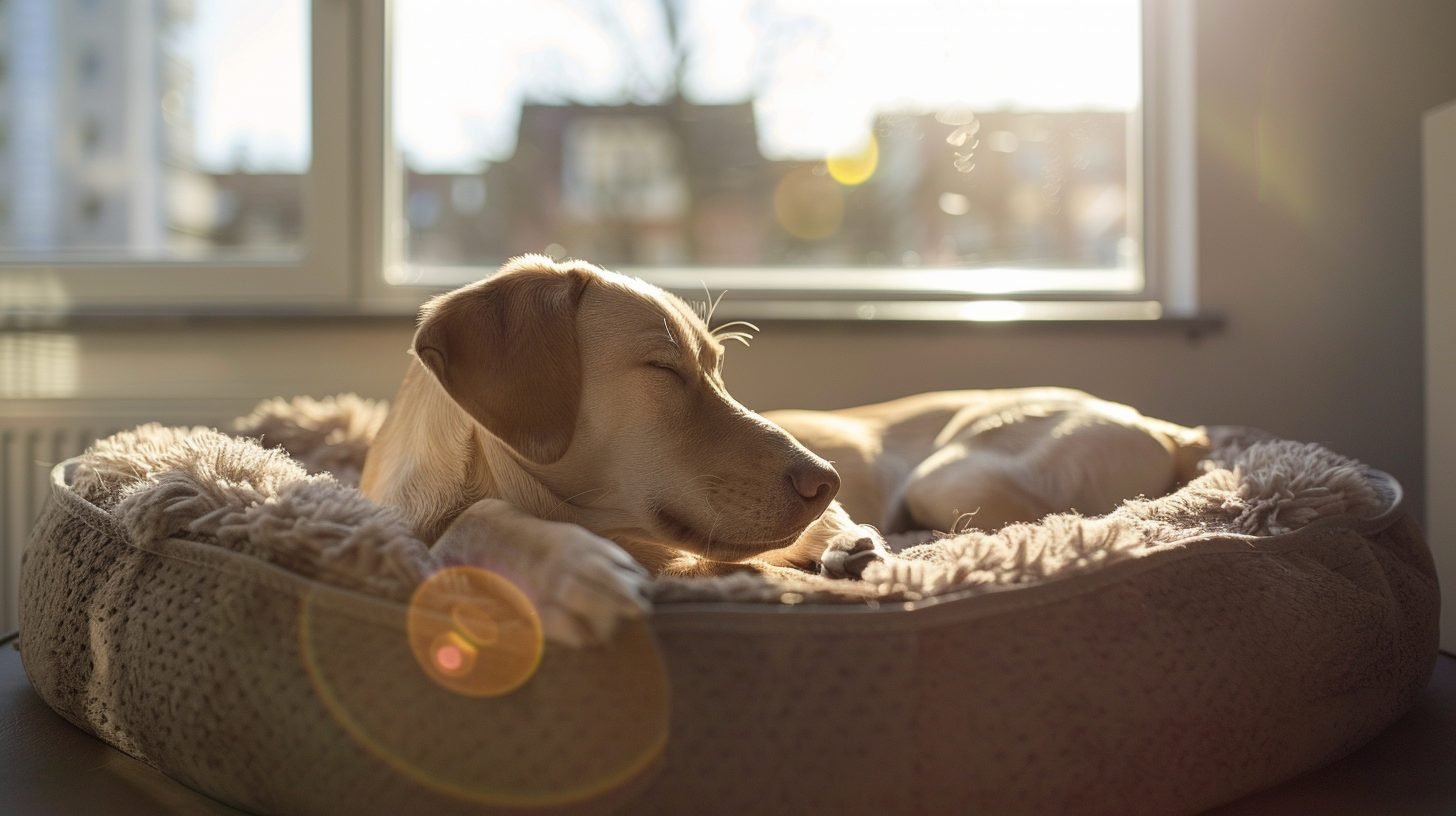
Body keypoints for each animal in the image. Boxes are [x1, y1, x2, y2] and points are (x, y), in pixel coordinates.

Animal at [361, 257, 1205, 646]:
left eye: (718, 368)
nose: (826, 483)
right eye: (665, 370)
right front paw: (559, 564)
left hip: (952, 476)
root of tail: (1174, 429)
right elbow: (469, 526)